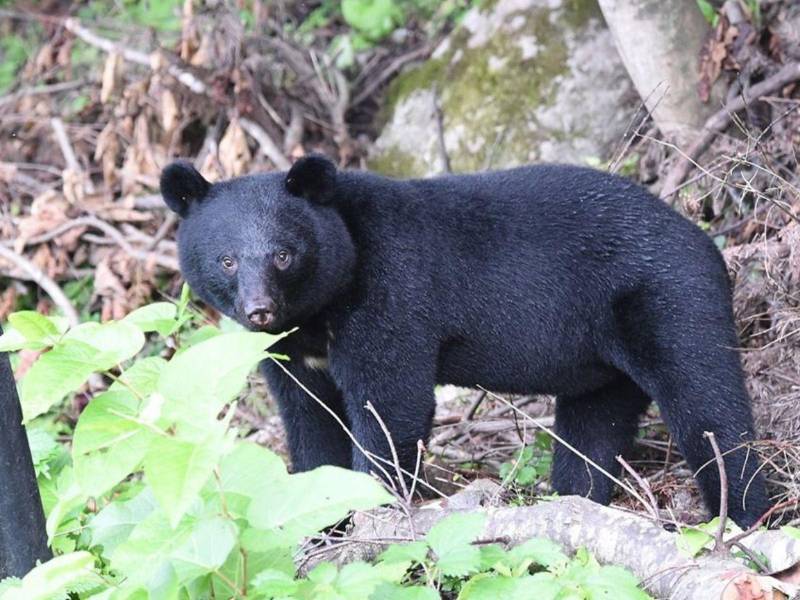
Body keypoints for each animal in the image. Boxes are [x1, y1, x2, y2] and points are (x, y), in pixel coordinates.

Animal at [161, 155, 769, 527]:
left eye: (284, 254)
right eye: (227, 259)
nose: (259, 309)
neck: (319, 311)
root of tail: (704, 240)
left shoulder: (391, 291)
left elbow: (390, 403)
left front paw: (371, 510)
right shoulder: (289, 352)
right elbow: (309, 419)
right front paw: (317, 517)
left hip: (668, 297)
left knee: (707, 405)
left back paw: (743, 516)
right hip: (603, 359)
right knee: (592, 430)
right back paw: (575, 500)